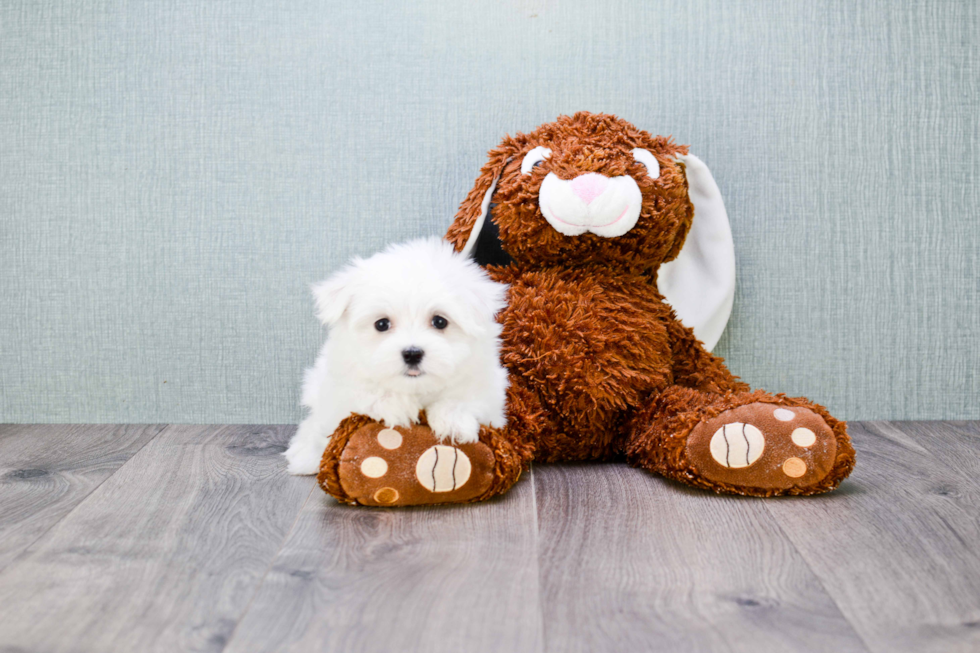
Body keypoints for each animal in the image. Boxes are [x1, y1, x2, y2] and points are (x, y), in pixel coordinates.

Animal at [284, 238, 510, 474]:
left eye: (440, 321)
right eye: (382, 324)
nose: (412, 353)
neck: (416, 389)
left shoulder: (489, 389)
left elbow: (465, 398)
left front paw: (453, 422)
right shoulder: (342, 386)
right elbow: (368, 394)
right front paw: (398, 406)